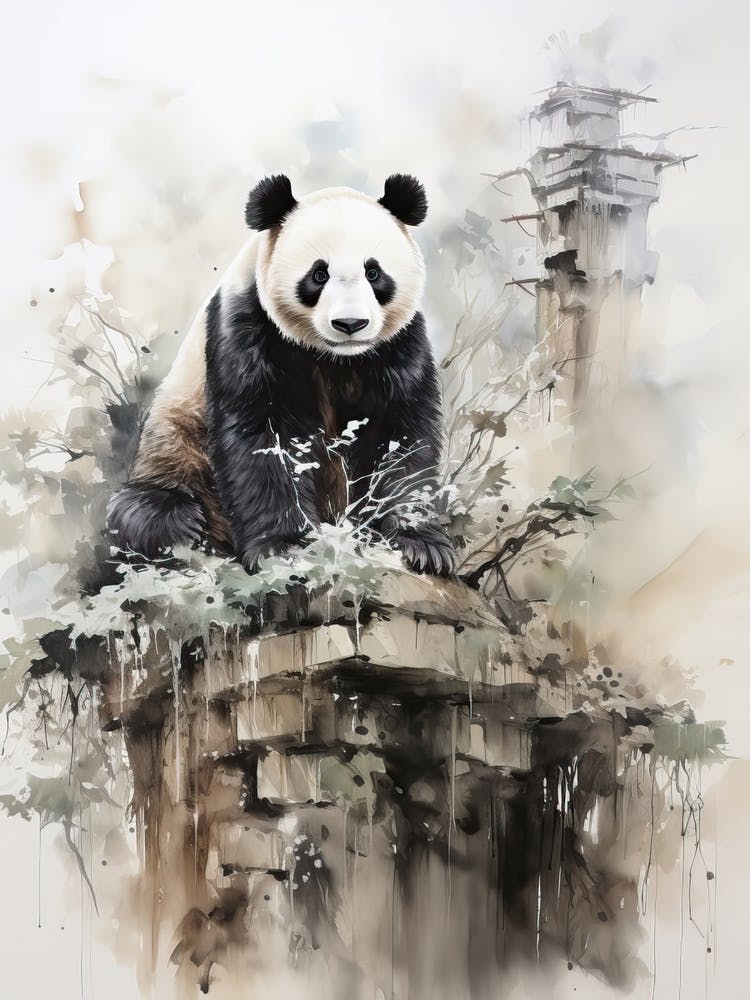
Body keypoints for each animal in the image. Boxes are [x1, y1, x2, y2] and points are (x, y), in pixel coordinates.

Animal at [106, 173, 456, 577]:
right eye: (318, 274)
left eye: (374, 272)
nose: (350, 324)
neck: (338, 358)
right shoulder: (249, 324)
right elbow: (264, 433)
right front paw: (283, 547)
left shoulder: (399, 342)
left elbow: (402, 434)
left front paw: (422, 544)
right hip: (175, 450)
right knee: (139, 506)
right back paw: (178, 519)